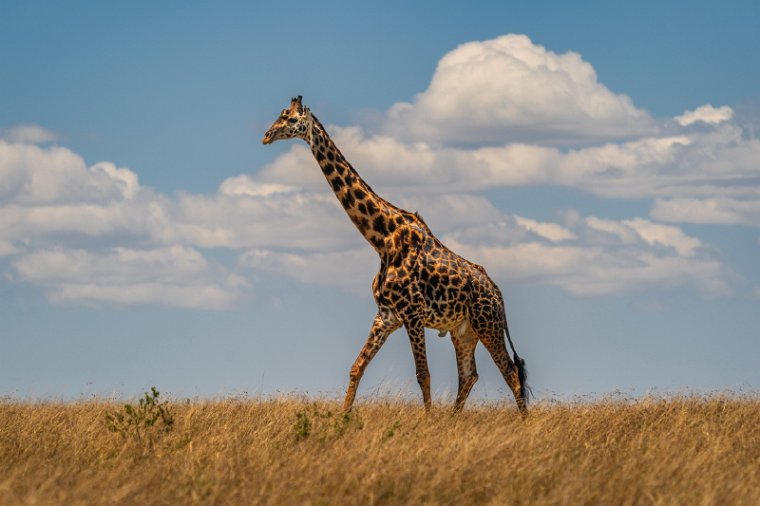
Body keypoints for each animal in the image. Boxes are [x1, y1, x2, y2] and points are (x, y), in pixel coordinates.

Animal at [262, 97, 528, 414]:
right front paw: (343, 417)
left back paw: (521, 421)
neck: (382, 239)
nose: (266, 136)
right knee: (469, 375)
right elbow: (356, 368)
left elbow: (423, 374)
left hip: (487, 324)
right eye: (280, 114)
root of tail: (499, 294)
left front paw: (428, 421)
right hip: (463, 331)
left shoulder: (412, 312)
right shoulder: (387, 315)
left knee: (510, 373)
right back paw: (453, 419)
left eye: (290, 119)